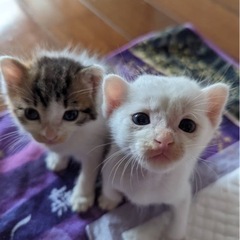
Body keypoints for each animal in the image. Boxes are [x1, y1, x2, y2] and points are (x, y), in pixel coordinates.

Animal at [0, 48, 108, 212]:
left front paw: (82, 197)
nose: (49, 135)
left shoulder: (95, 144)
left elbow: (89, 170)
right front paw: (57, 159)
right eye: (31, 113)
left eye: (71, 115)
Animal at [99, 74, 229, 239]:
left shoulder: (183, 192)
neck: (149, 179)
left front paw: (173, 234)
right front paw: (108, 200)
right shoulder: (109, 168)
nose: (164, 138)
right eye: (140, 119)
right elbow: (108, 186)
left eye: (188, 125)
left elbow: (180, 217)